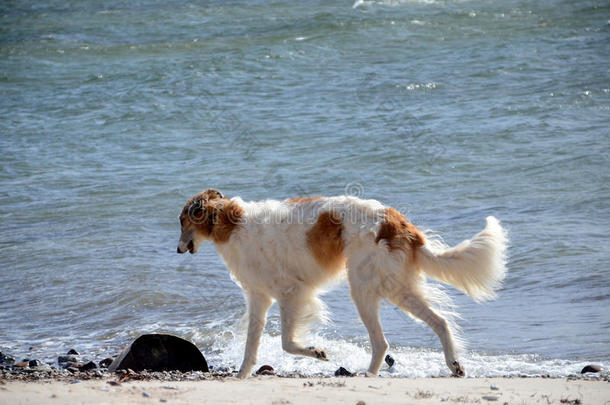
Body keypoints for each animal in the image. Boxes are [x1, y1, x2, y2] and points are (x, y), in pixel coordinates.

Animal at [177, 188, 508, 378]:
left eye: (181, 221)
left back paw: (368, 376)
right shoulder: (259, 298)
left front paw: (317, 352)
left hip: (368, 289)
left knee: (383, 341)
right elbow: (251, 349)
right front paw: (241, 377)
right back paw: (453, 365)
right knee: (438, 323)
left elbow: (286, 342)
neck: (229, 224)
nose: (178, 250)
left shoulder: (290, 292)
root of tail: (397, 221)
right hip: (392, 288)